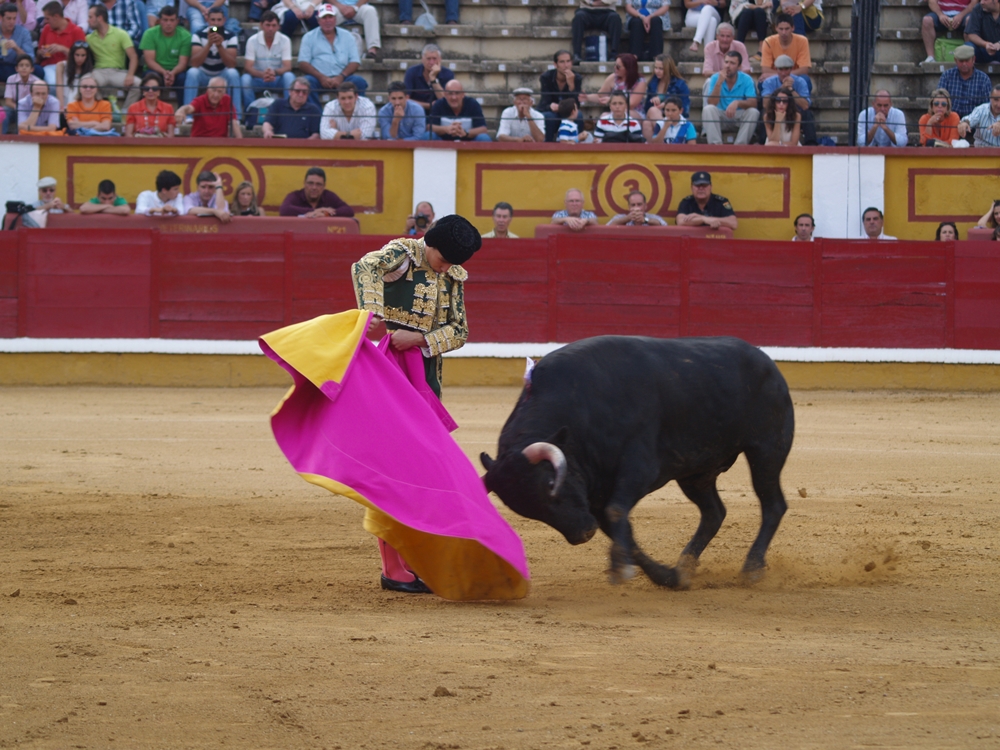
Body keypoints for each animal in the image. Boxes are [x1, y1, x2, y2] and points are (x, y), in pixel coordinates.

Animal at [480, 338, 792, 592]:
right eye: (528, 510)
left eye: (550, 484)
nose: (583, 534)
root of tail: (766, 360)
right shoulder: (595, 495)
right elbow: (624, 532)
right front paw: (668, 577)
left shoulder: (639, 469)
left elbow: (617, 512)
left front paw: (621, 568)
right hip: (695, 473)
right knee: (714, 512)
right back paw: (685, 565)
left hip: (767, 450)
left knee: (773, 505)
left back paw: (752, 568)